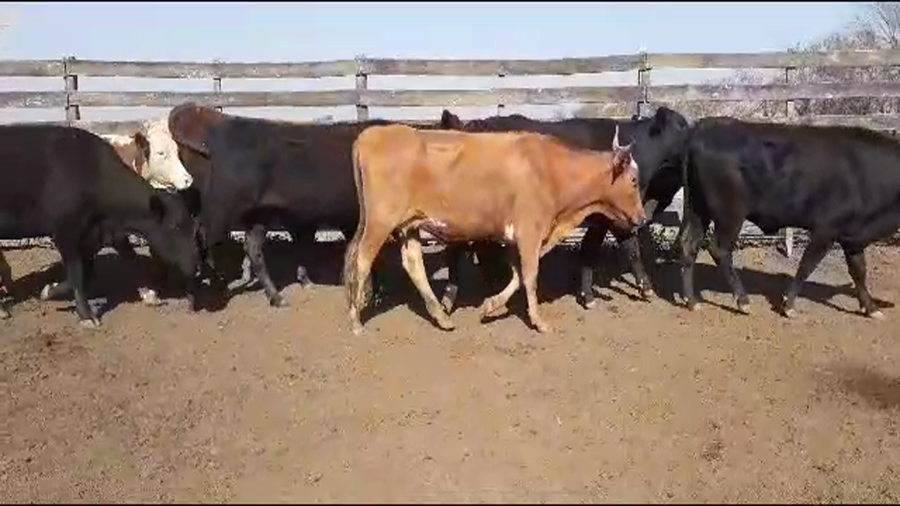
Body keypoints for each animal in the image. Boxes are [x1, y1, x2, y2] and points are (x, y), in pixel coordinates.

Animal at [166, 103, 448, 310]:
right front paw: (372, 293)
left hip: (257, 216)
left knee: (253, 251)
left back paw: (277, 296)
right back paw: (207, 293)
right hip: (220, 210)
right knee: (202, 242)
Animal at [343, 123, 647, 335]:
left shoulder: (519, 237)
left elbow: (518, 275)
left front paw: (490, 306)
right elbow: (530, 276)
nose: (642, 218)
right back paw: (355, 320)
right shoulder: (530, 231)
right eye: (633, 180)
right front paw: (539, 321)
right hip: (380, 221)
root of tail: (370, 134)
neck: (551, 169)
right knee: (362, 261)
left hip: (410, 224)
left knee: (413, 264)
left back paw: (441, 317)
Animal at [438, 106, 691, 312]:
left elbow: (607, 248)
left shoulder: (608, 218)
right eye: (681, 126)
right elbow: (622, 248)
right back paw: (455, 295)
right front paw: (635, 289)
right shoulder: (609, 218)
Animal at [679, 118, 900, 319]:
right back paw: (743, 301)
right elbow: (806, 266)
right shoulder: (825, 230)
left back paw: (692, 301)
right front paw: (789, 305)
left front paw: (871, 308)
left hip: (698, 209)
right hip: (729, 215)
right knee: (719, 249)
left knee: (690, 245)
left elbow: (859, 271)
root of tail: (704, 127)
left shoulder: (853, 238)